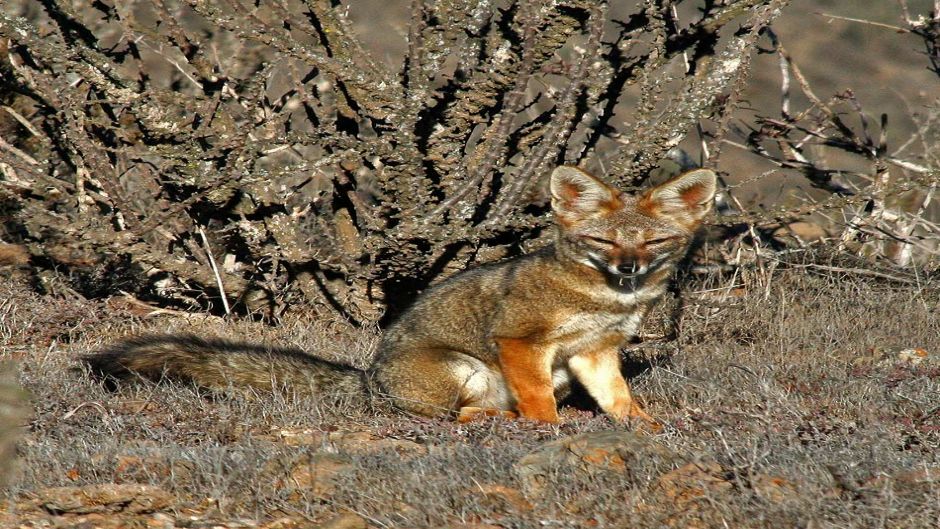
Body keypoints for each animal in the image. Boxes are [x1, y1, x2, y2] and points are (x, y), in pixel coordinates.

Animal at [86, 165, 716, 425]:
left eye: (654, 241)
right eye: (603, 241)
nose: (630, 268)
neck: (602, 300)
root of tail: (369, 379)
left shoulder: (594, 353)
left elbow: (620, 400)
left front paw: (647, 428)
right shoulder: (520, 342)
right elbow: (538, 400)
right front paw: (549, 429)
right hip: (467, 369)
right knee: (456, 416)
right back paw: (499, 422)